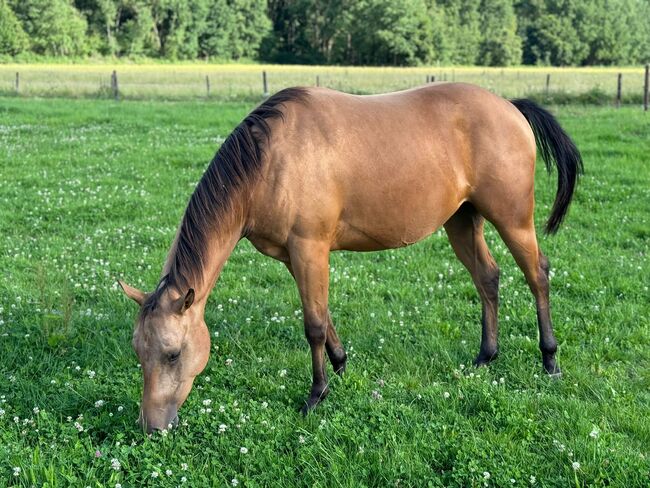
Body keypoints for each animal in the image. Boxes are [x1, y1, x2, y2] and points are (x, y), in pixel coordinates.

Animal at [117, 83, 584, 430]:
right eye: (139, 351)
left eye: (173, 354)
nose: (152, 427)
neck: (270, 159)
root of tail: (510, 107)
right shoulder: (294, 256)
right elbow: (323, 315)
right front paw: (341, 368)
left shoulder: (309, 247)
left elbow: (313, 325)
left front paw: (315, 395)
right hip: (463, 221)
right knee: (488, 277)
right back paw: (486, 356)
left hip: (513, 219)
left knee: (537, 275)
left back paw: (550, 359)